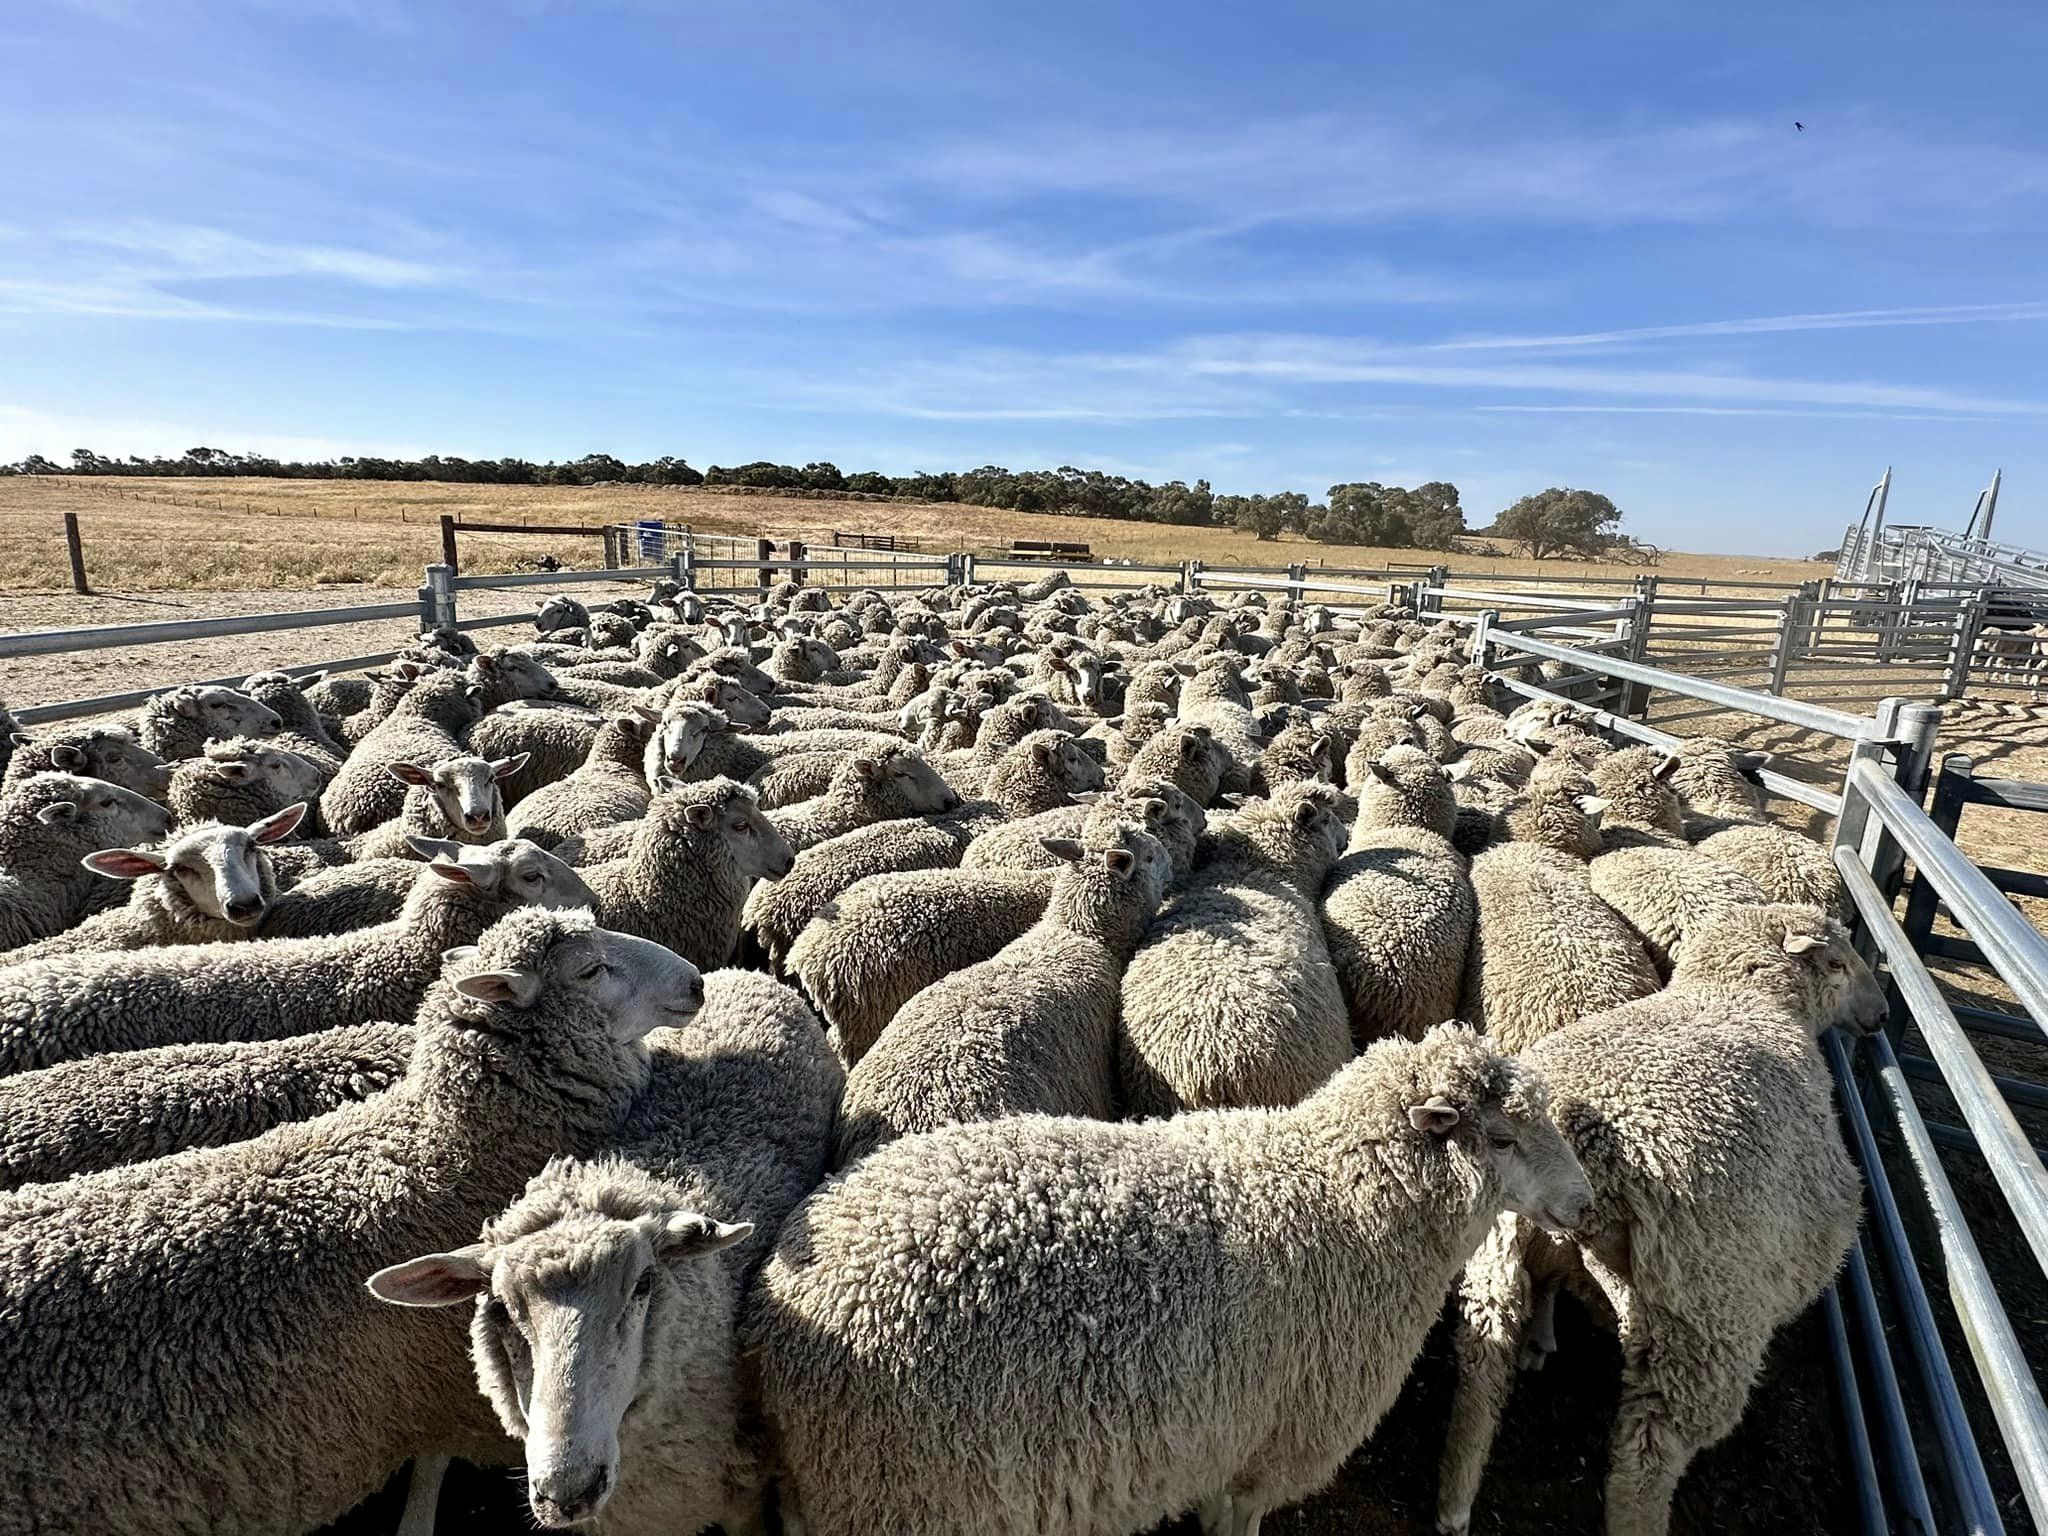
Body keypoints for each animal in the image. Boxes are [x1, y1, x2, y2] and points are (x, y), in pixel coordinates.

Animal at [751, 1024, 1592, 1536]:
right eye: (1504, 1138)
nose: (1585, 1205)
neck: (1343, 1199)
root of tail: (778, 1311)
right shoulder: (1267, 1450)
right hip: (899, 1493)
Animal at [1436, 905, 1885, 1536]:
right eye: (1840, 963)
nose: (1883, 1015)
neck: (1749, 997)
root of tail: (1592, 1150)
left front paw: (1542, 1338)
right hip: (1702, 1316)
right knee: (1646, 1457)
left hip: (1498, 1251)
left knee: (1483, 1366)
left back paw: (1455, 1499)